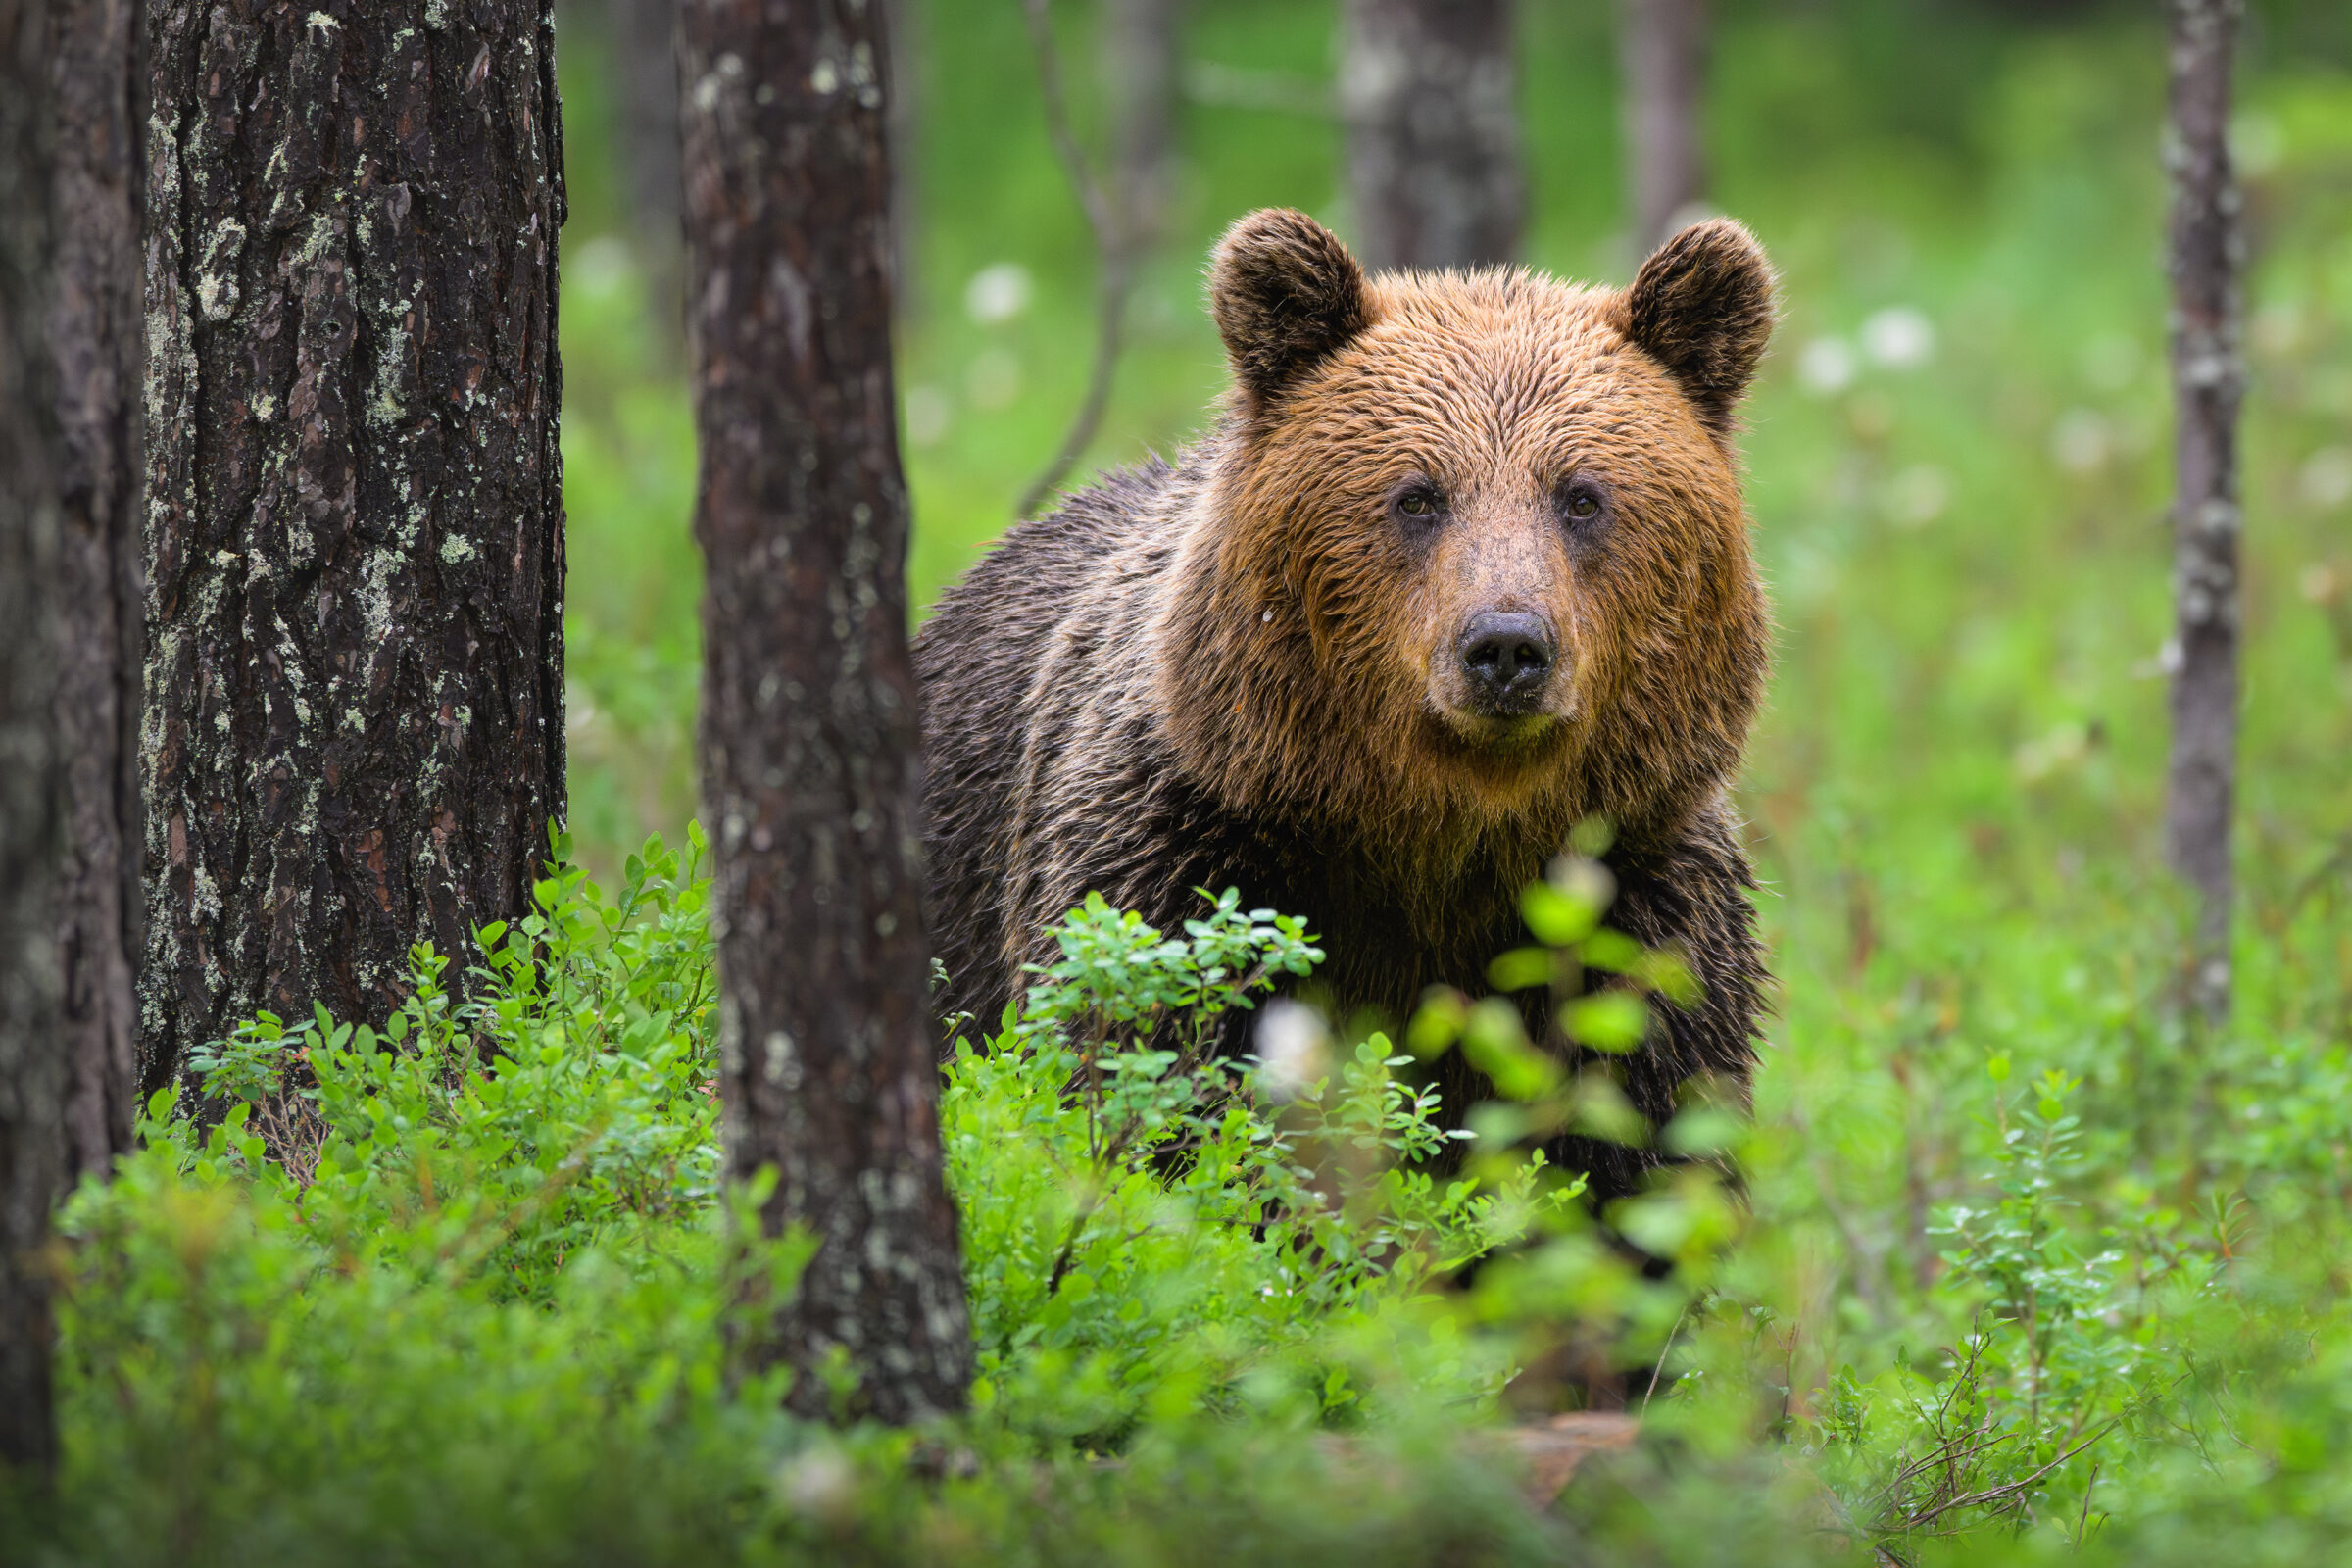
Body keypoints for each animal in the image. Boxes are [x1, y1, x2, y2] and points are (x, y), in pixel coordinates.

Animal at [915, 208, 1774, 1202]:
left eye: (1583, 496)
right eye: (1418, 495)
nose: (1506, 646)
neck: (1433, 836)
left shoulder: (1635, 895)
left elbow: (1647, 1141)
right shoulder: (1190, 850)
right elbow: (1162, 1074)